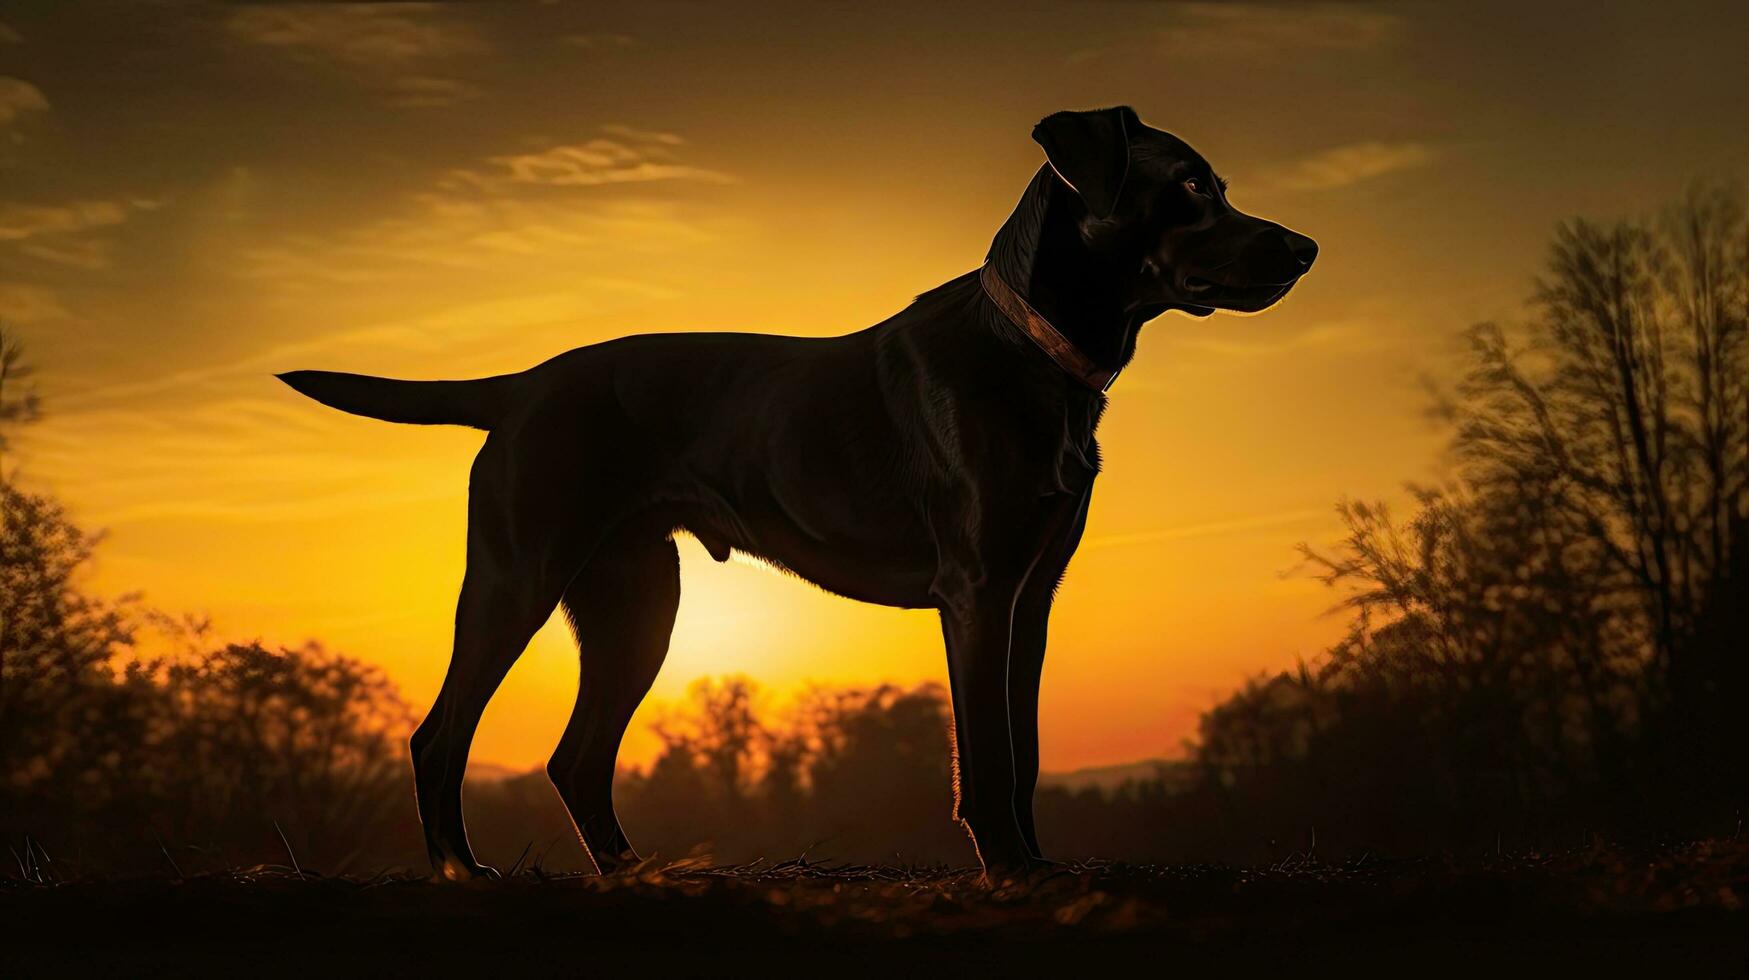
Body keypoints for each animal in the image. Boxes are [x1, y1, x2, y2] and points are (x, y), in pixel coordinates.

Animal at [279, 107, 1315, 882]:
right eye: (1190, 185)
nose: (1305, 248)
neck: (1038, 356)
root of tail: (523, 383)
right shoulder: (978, 591)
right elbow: (984, 751)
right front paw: (1007, 870)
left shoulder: (1034, 594)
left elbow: (1020, 750)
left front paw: (1036, 865)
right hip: (514, 581)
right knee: (439, 734)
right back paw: (461, 869)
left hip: (636, 600)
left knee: (575, 756)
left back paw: (632, 871)